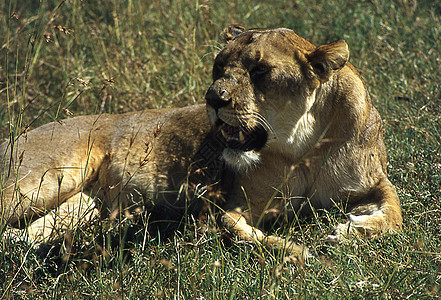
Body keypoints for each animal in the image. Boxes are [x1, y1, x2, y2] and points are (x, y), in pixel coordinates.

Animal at [0, 27, 400, 264]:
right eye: (218, 67)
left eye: (260, 71)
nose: (213, 98)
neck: (303, 148)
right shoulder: (233, 204)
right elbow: (234, 228)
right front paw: (296, 252)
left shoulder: (374, 182)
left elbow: (395, 215)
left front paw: (352, 230)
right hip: (41, 180)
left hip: (83, 203)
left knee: (19, 236)